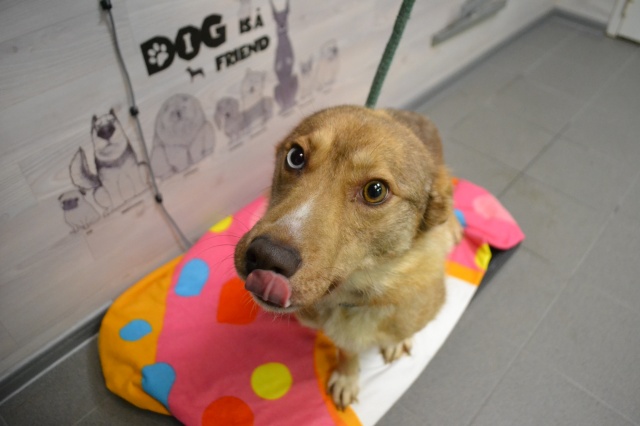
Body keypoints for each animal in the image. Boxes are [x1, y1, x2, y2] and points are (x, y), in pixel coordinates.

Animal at [234, 105, 461, 409]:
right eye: (295, 156)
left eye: (375, 191)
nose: (265, 257)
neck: (357, 296)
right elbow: (347, 351)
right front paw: (347, 377)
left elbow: (399, 332)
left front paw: (394, 343)